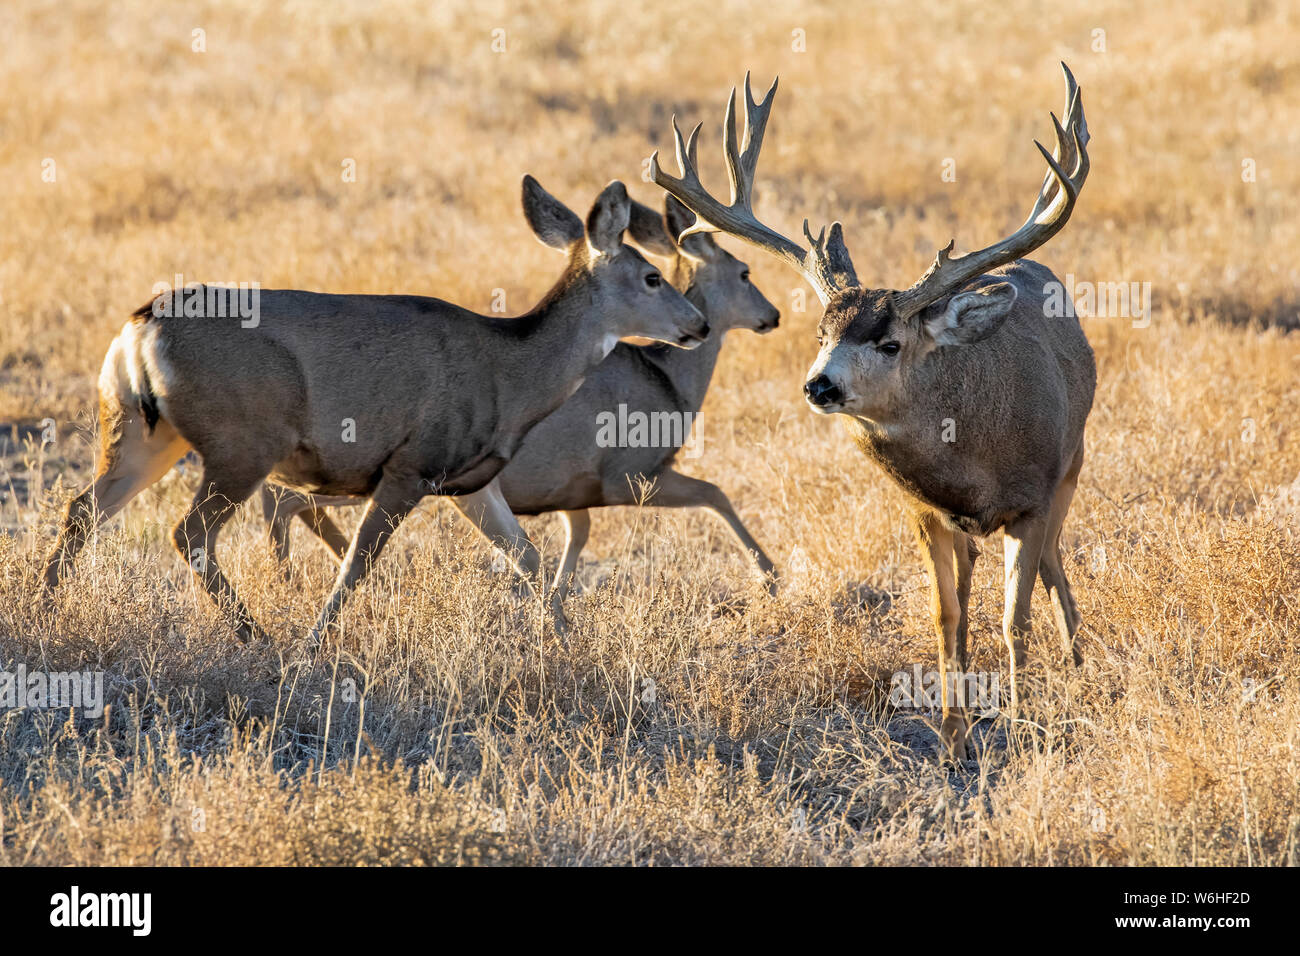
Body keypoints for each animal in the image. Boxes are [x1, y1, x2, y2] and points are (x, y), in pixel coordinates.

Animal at [41, 177, 709, 651]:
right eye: (653, 276)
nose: (698, 325)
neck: (511, 371)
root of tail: (139, 329)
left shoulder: (470, 479)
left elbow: (527, 557)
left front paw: (568, 644)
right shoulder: (411, 463)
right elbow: (357, 563)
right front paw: (312, 646)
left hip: (139, 431)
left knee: (82, 510)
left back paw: (44, 611)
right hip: (242, 442)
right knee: (189, 532)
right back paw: (255, 635)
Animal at [258, 194, 781, 599]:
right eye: (745, 272)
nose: (772, 315)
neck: (671, 381)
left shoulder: (570, 488)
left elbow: (573, 535)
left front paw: (558, 599)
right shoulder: (629, 474)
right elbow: (715, 492)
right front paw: (771, 578)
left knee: (289, 501)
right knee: (282, 499)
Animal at [651, 65, 1093, 759]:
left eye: (889, 343)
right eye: (820, 334)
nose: (819, 386)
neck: (976, 463)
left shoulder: (1033, 496)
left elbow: (1013, 618)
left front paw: (1023, 725)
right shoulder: (921, 509)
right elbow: (946, 615)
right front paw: (952, 736)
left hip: (1073, 463)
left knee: (1053, 563)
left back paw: (1076, 660)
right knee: (985, 582)